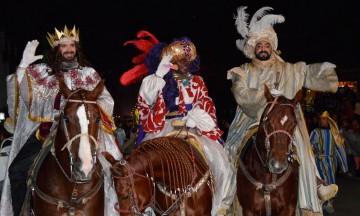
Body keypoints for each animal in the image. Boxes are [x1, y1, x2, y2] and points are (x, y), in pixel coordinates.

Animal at [238, 86, 302, 216]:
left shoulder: (289, 208)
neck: (267, 176)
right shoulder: (248, 210)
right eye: (268, 122)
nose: (278, 165)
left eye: (294, 124)